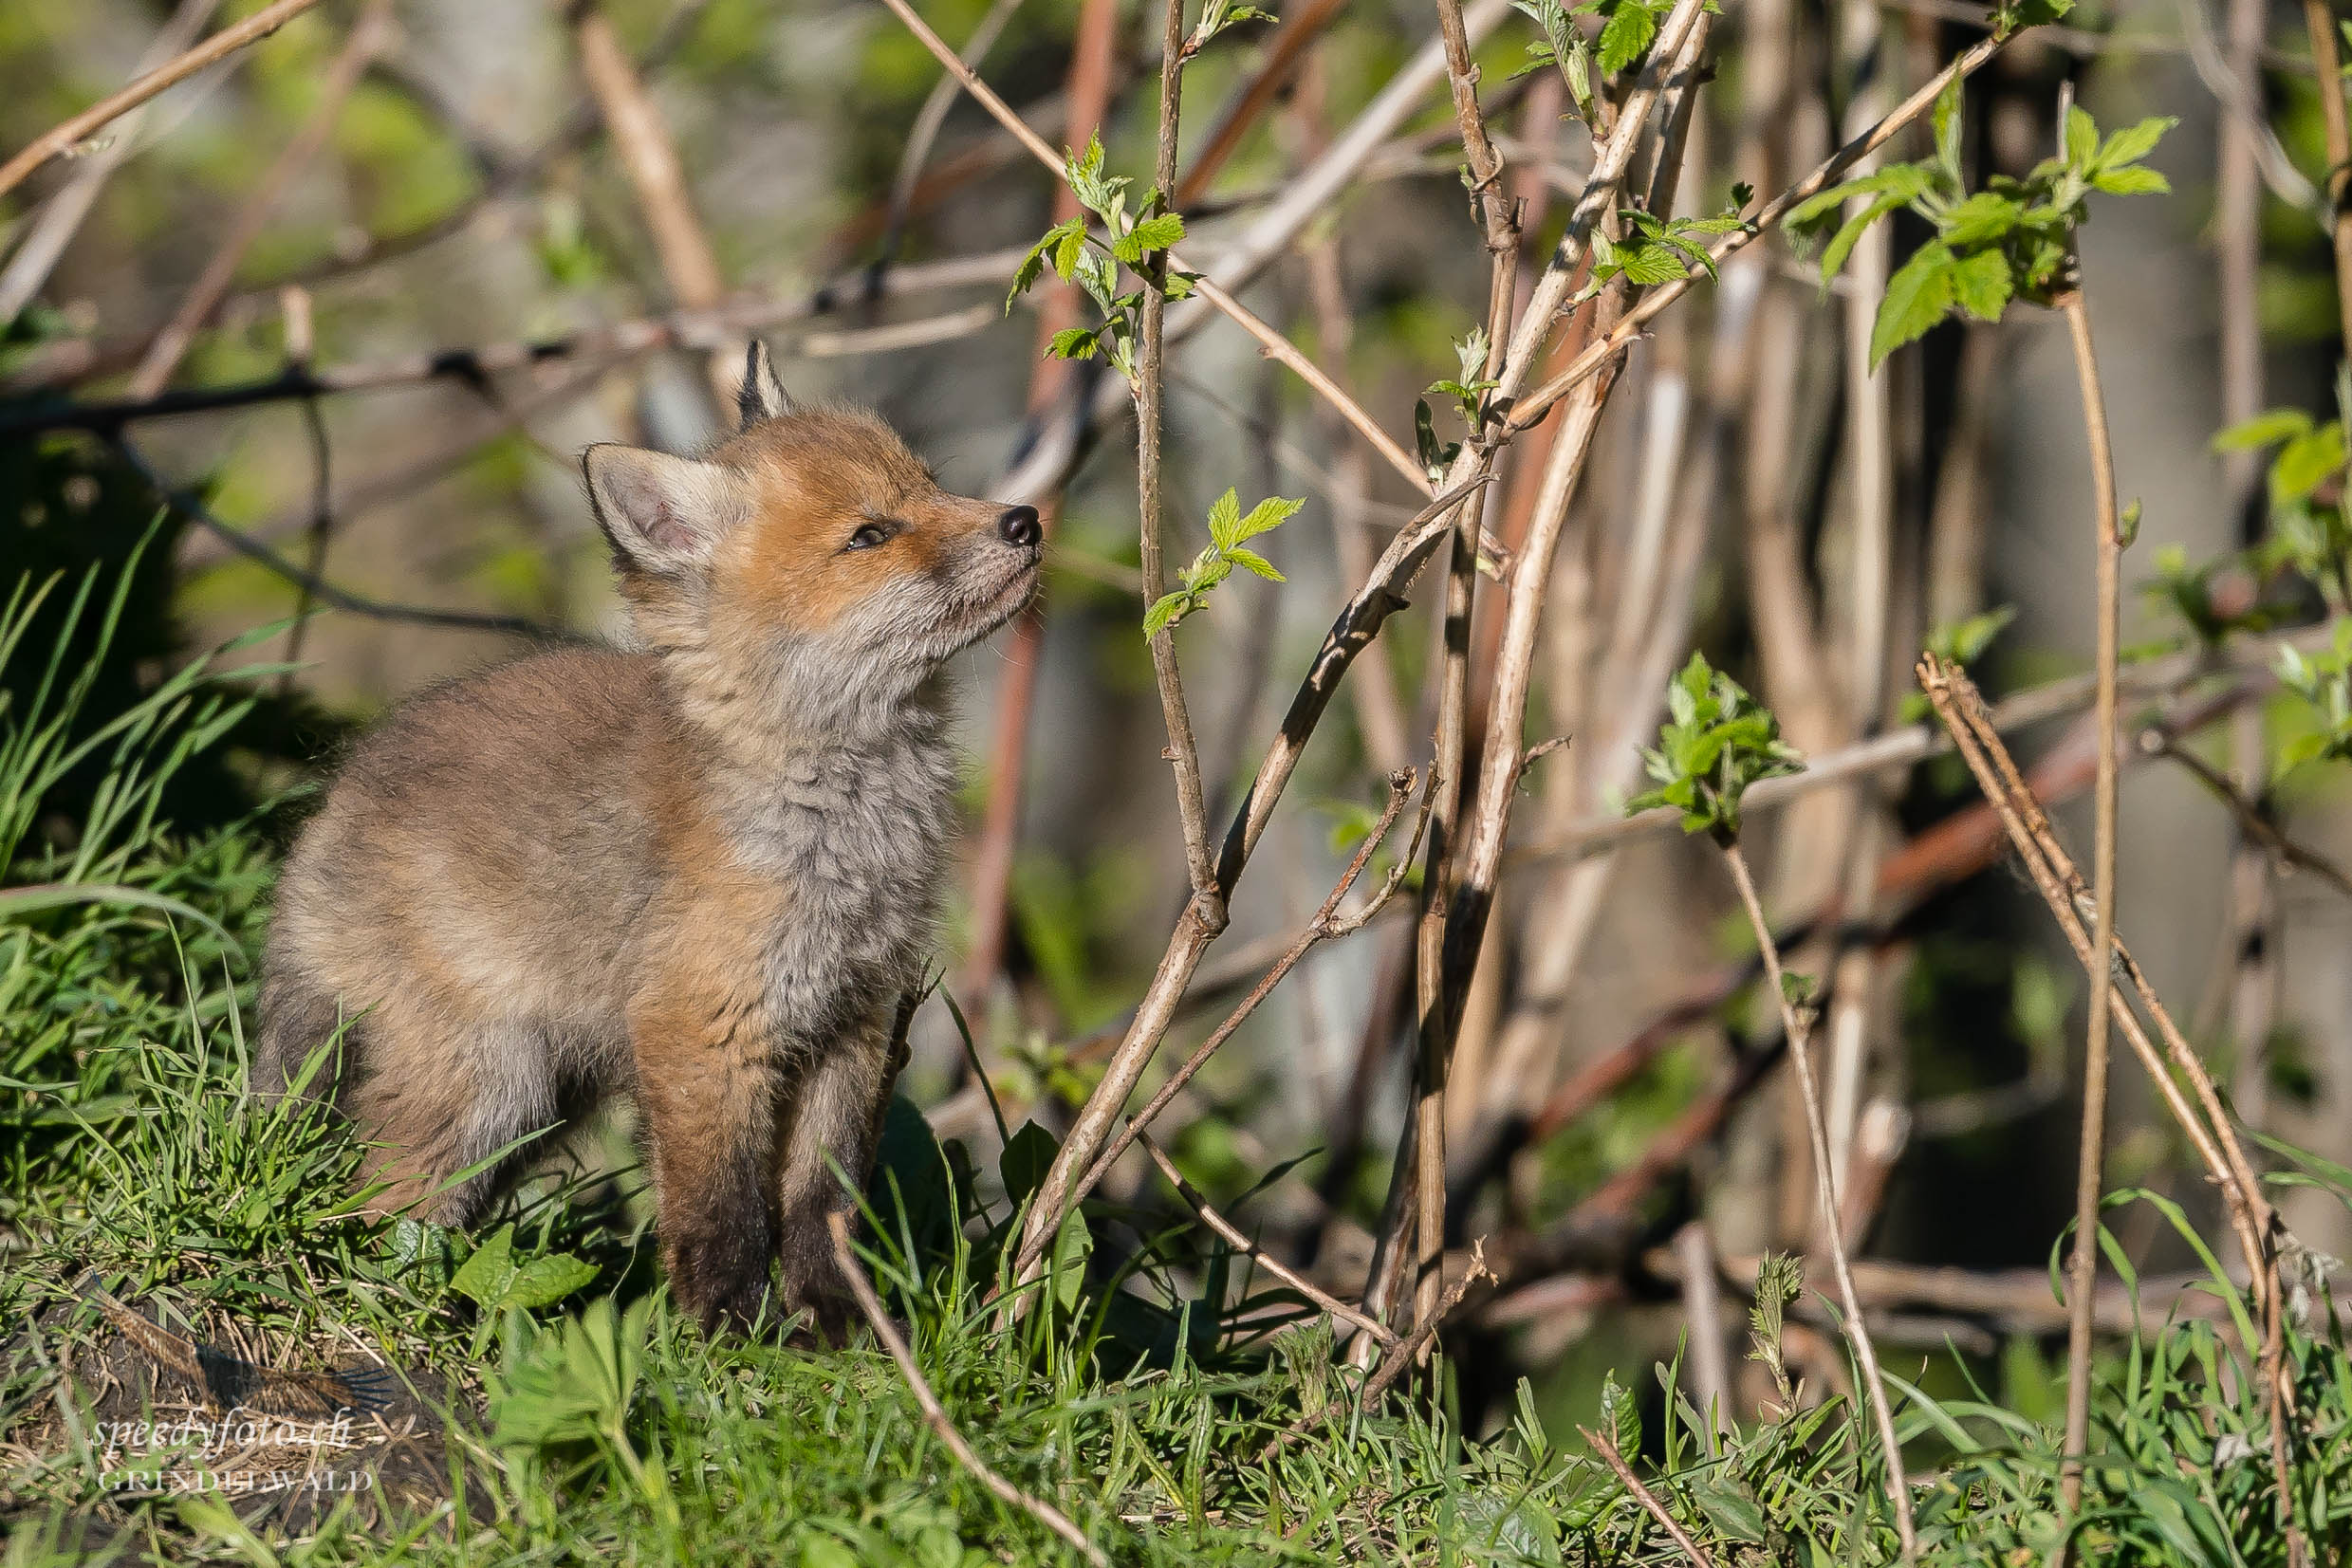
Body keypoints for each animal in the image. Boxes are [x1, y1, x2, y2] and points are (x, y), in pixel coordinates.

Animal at [248, 345, 1039, 1335]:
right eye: (868, 536)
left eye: (931, 485)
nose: (1024, 520)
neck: (841, 825)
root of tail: (333, 806)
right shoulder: (702, 1032)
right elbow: (720, 1214)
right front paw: (727, 1337)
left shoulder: (851, 1024)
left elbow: (823, 1206)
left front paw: (837, 1331)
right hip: (489, 1086)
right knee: (374, 1198)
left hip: (545, 1103)